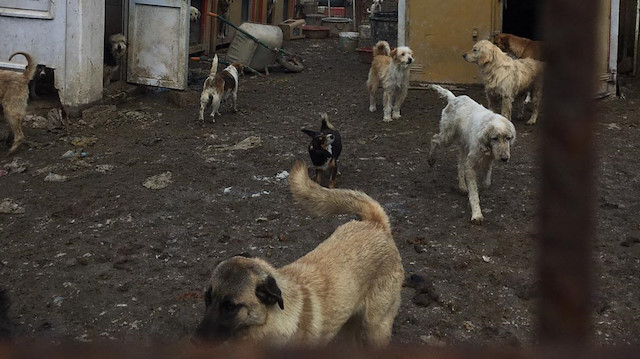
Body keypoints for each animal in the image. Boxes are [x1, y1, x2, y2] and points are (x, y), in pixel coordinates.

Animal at [428, 85, 516, 224]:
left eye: (508, 138)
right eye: (495, 138)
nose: (504, 158)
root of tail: (454, 98)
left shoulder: (488, 163)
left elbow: (485, 184)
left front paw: (475, 191)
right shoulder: (471, 165)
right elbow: (474, 192)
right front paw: (476, 214)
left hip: (464, 146)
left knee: (460, 164)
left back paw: (462, 187)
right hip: (448, 137)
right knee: (434, 139)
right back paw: (431, 159)